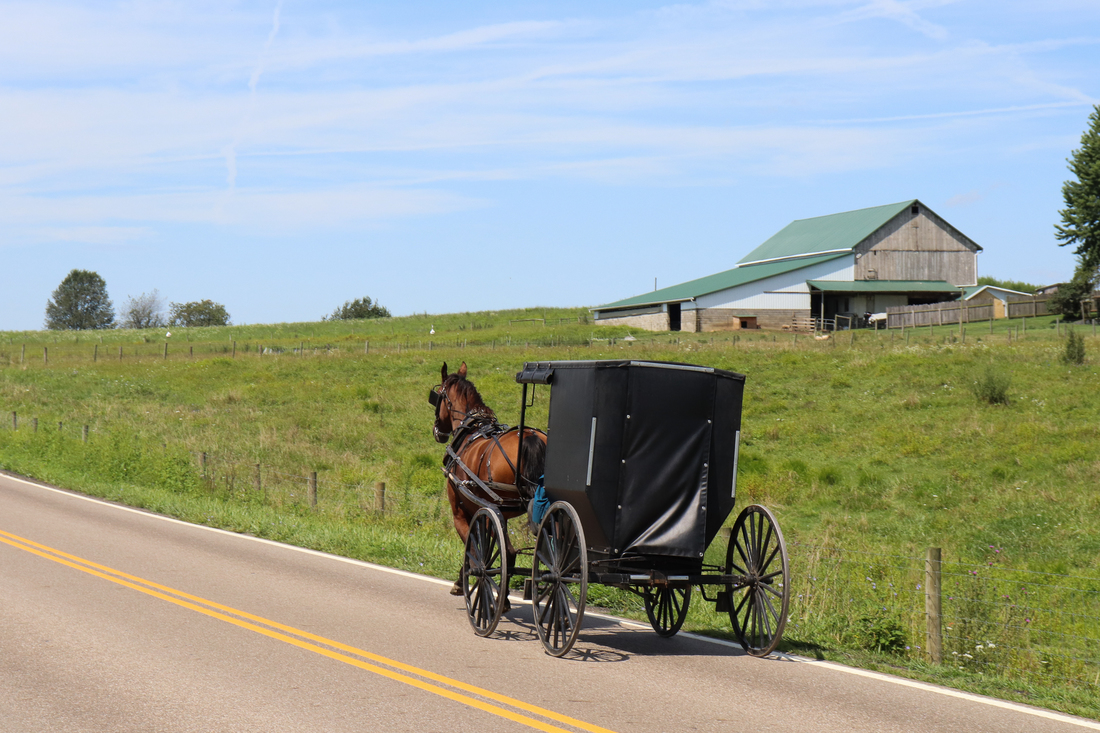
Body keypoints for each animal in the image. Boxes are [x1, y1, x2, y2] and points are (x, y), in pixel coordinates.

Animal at [431, 358, 547, 594]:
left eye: (438, 396)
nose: (437, 431)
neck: (472, 428)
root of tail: (530, 436)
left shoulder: (464, 514)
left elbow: (473, 550)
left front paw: (462, 580)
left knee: (508, 553)